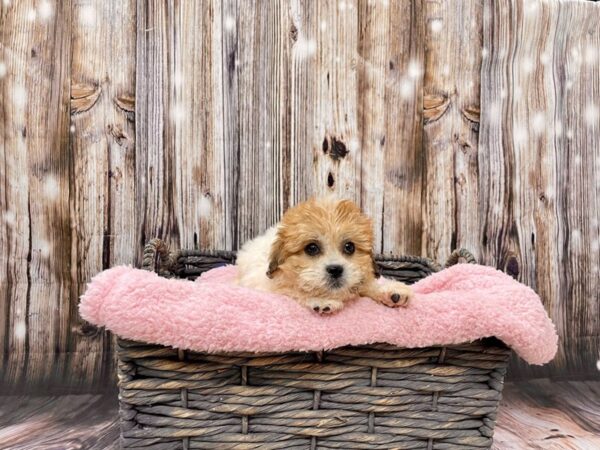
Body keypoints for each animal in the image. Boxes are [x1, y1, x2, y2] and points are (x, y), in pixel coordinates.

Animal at [234, 197, 412, 312]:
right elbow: (293, 289)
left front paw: (390, 291)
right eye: (312, 248)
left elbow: (366, 285)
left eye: (349, 247)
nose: (335, 269)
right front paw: (321, 300)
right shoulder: (265, 285)